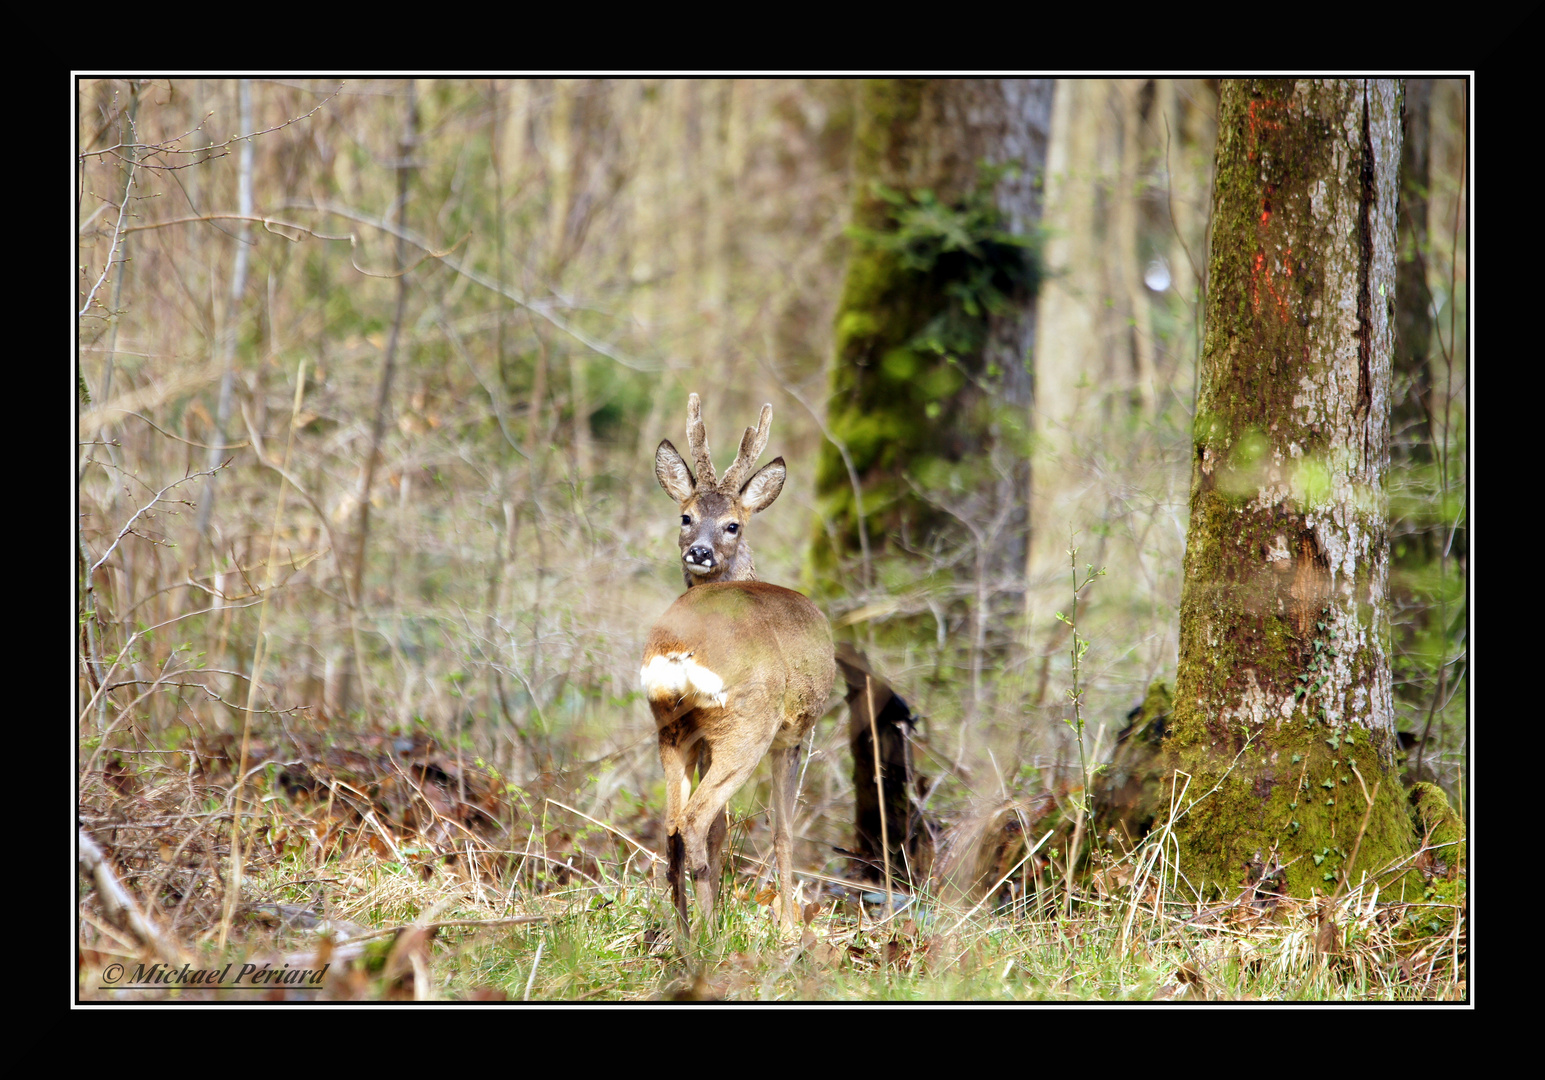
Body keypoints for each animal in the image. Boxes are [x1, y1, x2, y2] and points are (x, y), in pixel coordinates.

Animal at [636, 395, 840, 939]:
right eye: (685, 517)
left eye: (733, 523)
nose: (699, 552)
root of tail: (681, 650)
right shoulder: (795, 732)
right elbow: (783, 829)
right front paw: (789, 925)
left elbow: (725, 829)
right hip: (748, 722)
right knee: (694, 820)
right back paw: (709, 936)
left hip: (671, 727)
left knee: (673, 826)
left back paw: (687, 935)